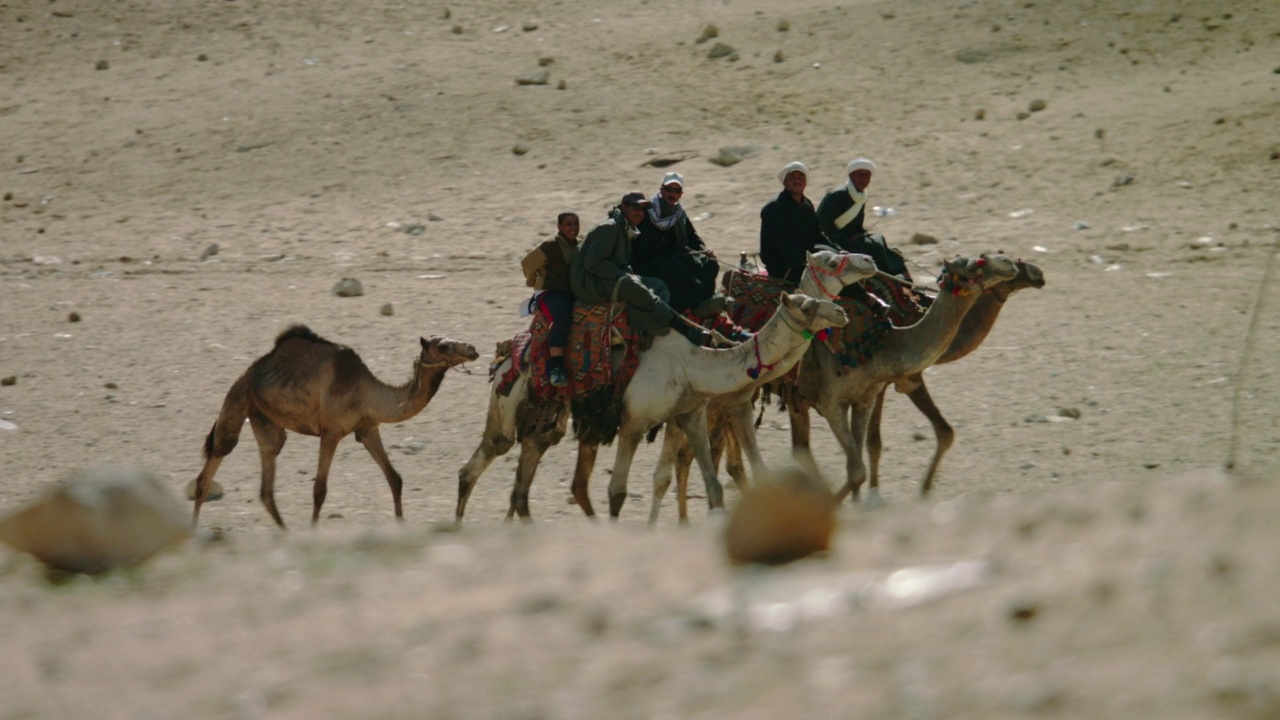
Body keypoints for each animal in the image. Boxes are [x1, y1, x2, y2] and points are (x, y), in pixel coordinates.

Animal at [194, 325, 481, 527]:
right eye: (443, 346)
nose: (472, 348)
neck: (367, 393)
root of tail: (249, 372)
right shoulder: (331, 432)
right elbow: (319, 490)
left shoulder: (367, 429)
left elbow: (395, 478)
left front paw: (401, 525)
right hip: (236, 400)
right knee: (210, 469)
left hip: (264, 420)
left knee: (267, 477)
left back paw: (285, 533)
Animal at [453, 288, 849, 517]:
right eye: (807, 305)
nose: (842, 312)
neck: (692, 364)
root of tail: (509, 351)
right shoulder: (634, 422)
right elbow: (617, 492)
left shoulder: (691, 413)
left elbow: (714, 487)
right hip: (507, 400)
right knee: (480, 461)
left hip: (546, 414)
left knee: (523, 479)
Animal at [783, 252, 1024, 504]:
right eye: (975, 265)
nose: (1010, 263)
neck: (885, 345)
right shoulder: (831, 402)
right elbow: (860, 464)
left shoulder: (866, 397)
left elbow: (857, 459)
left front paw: (858, 501)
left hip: (795, 398)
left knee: (800, 448)